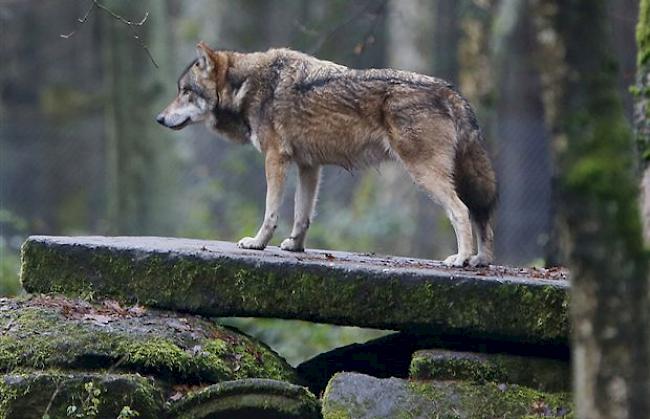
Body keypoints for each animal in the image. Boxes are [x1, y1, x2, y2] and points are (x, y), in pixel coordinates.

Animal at [157, 41, 496, 266]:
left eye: (185, 92)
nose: (159, 119)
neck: (248, 85)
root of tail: (449, 90)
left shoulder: (275, 159)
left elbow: (271, 211)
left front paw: (257, 243)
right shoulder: (309, 167)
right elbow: (302, 215)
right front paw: (295, 246)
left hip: (425, 175)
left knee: (461, 211)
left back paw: (461, 258)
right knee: (482, 218)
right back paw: (480, 261)